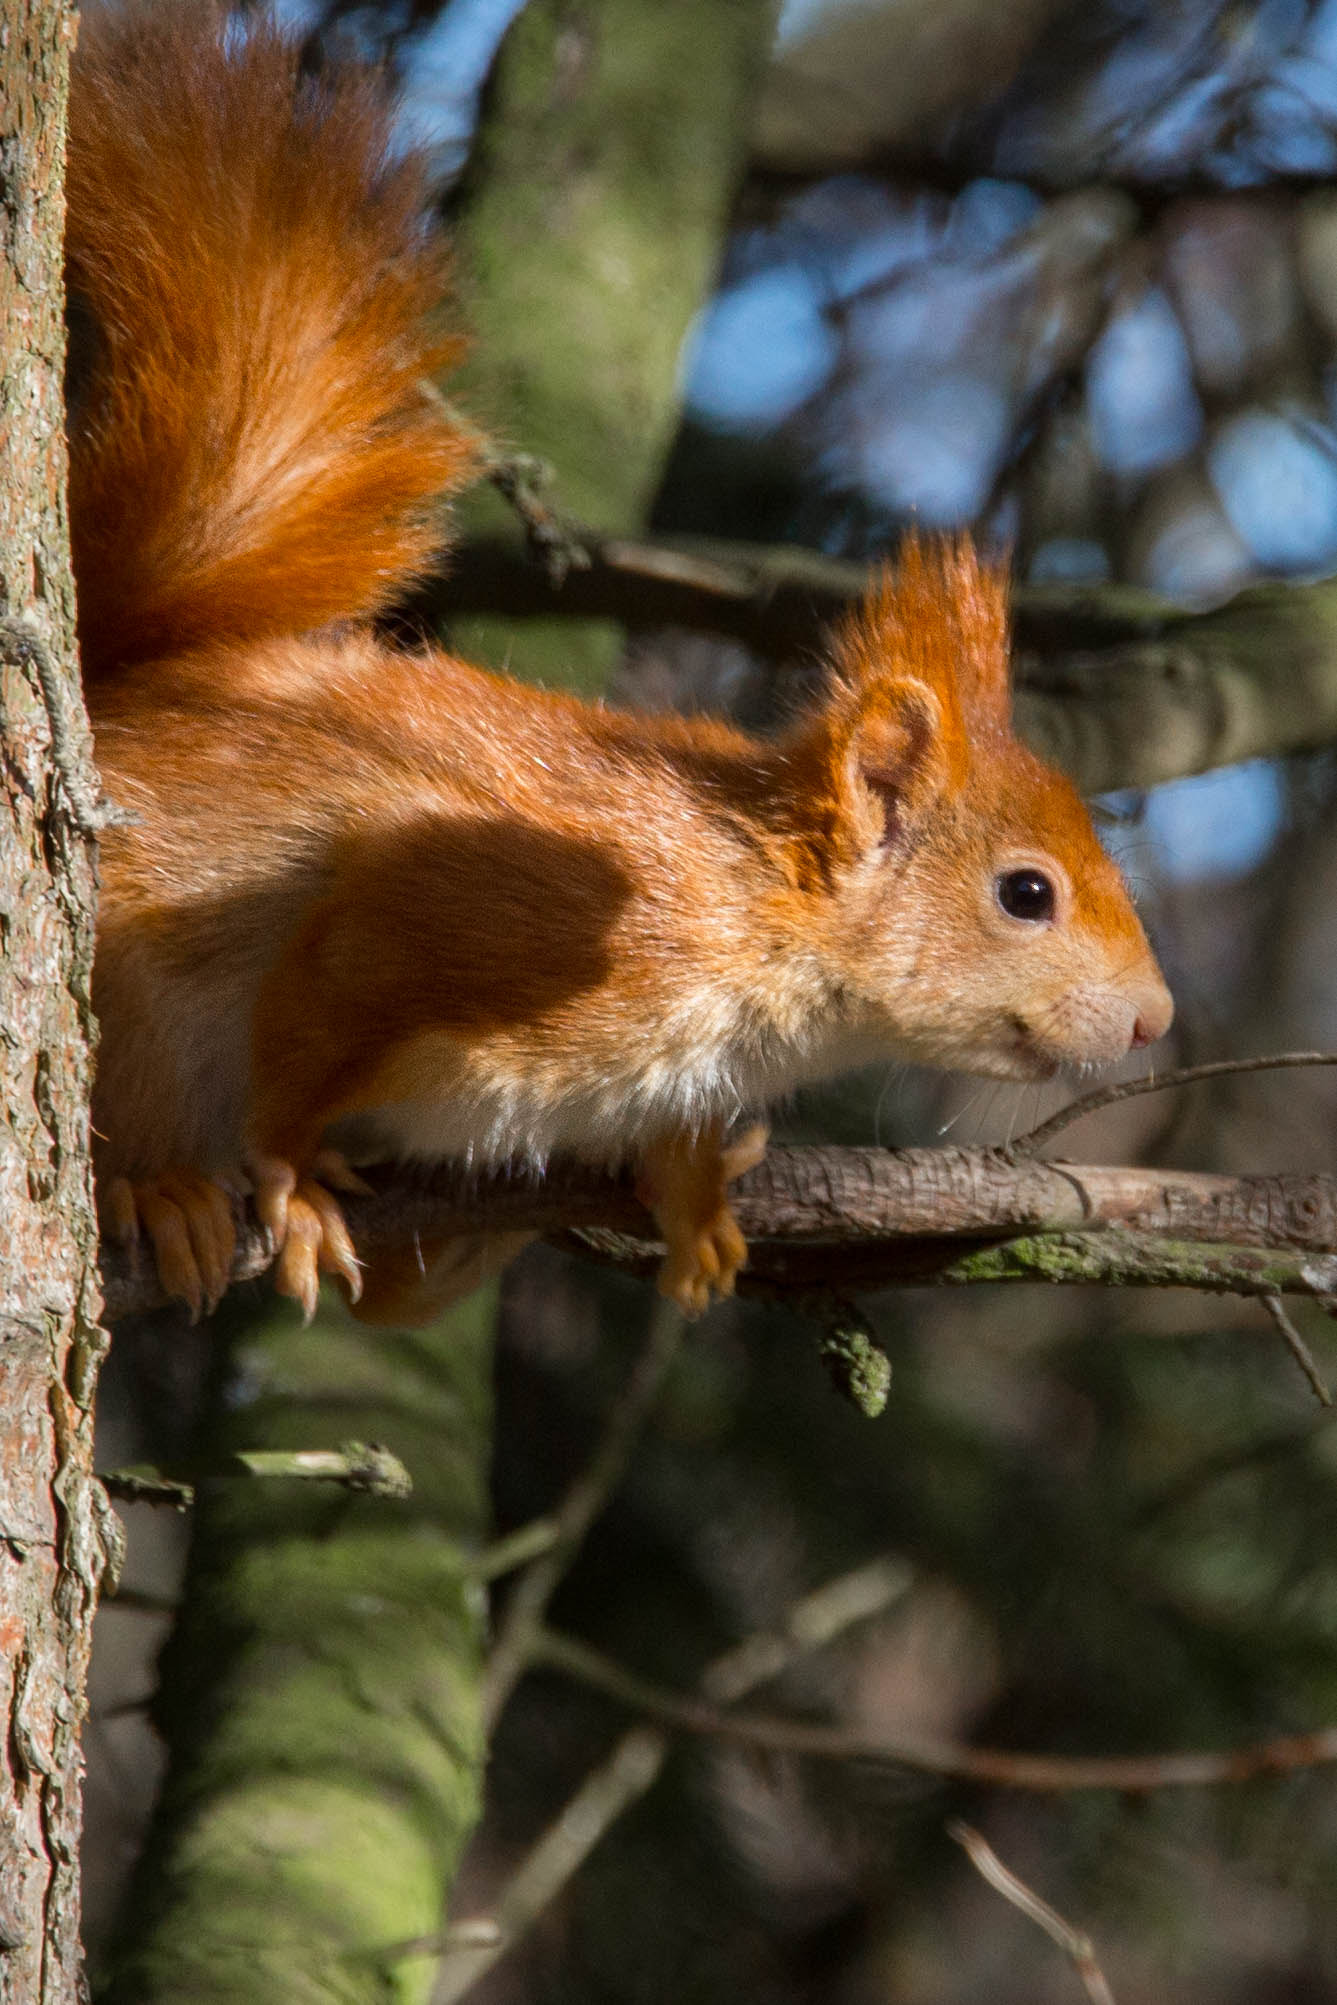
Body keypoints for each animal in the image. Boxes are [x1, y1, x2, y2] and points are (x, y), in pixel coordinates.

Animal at [68, 7, 1170, 1323]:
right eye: (1025, 894)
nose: (1156, 1021)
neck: (754, 914)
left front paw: (698, 1195)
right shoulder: (487, 915)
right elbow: (322, 1001)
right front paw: (286, 1170)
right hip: (132, 972)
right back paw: (164, 1188)